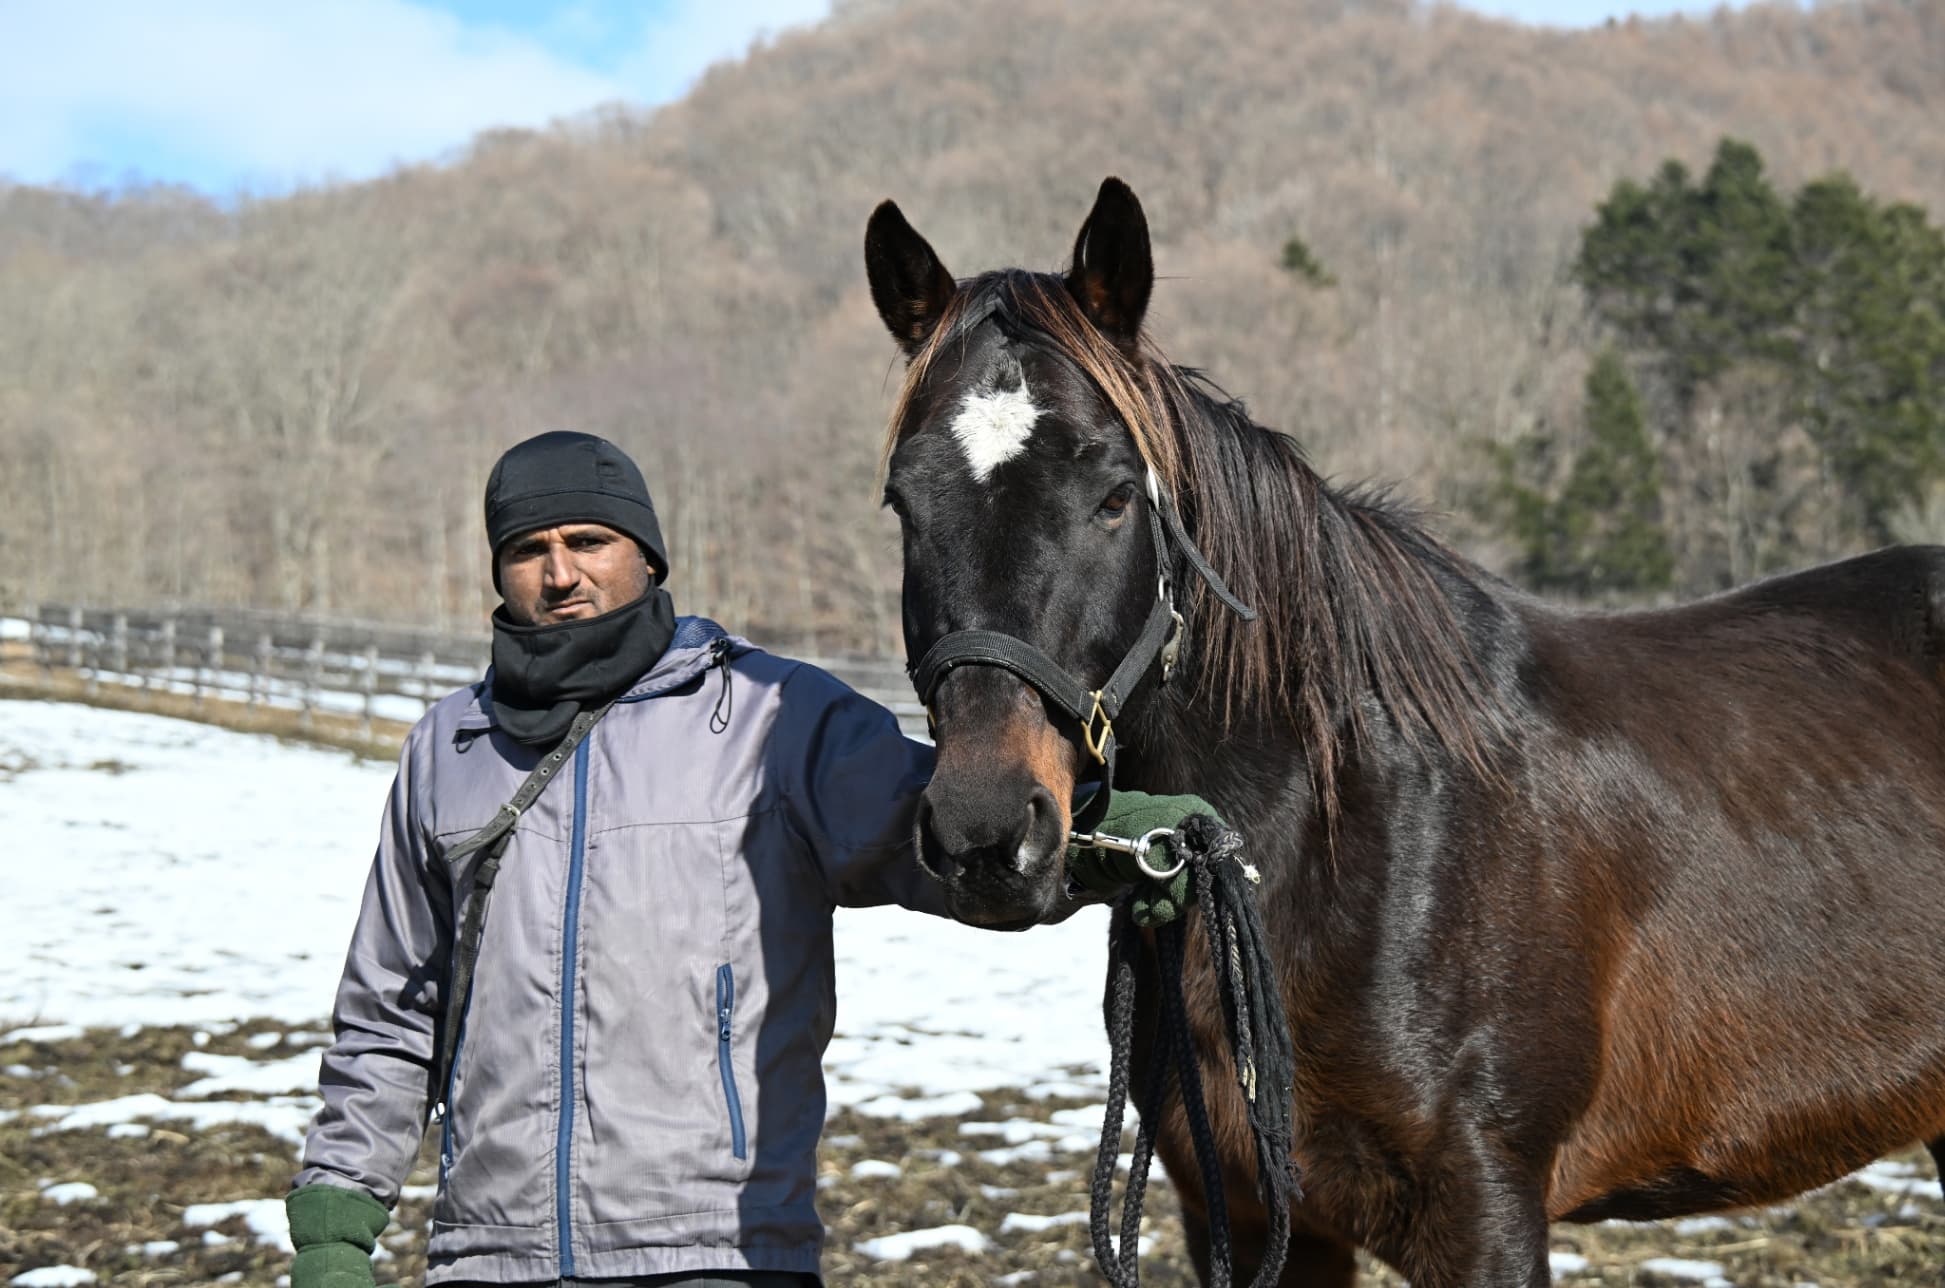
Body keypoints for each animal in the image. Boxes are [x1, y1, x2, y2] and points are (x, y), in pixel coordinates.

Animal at [862, 176, 1945, 1287]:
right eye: (904, 502)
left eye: (1116, 494)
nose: (986, 832)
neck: (1347, 834)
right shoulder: (1248, 1214)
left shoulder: (1482, 1213)